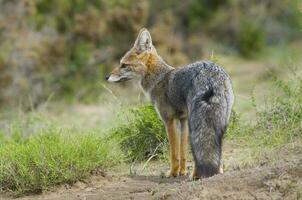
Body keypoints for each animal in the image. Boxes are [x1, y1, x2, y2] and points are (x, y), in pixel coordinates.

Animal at [106, 27, 236, 178]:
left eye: (124, 65)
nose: (106, 77)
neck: (159, 78)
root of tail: (210, 74)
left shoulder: (169, 120)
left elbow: (174, 152)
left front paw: (173, 173)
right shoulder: (183, 120)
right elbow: (183, 151)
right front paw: (182, 171)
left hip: (197, 122)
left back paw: (197, 175)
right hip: (219, 121)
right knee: (216, 147)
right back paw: (216, 171)